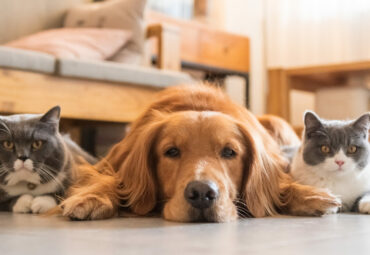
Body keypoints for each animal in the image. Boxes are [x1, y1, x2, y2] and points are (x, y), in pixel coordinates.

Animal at [60, 84, 342, 221]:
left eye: (229, 152)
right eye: (171, 151)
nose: (202, 194)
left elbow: (282, 185)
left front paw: (311, 196)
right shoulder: (113, 162)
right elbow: (108, 180)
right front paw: (90, 197)